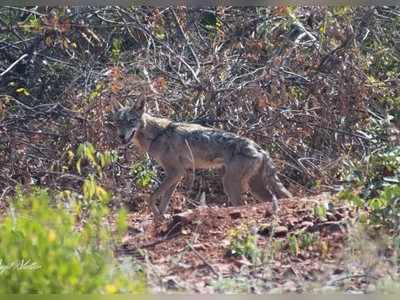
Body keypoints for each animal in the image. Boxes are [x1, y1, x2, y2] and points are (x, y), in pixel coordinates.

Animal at [114, 98, 292, 218]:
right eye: (118, 123)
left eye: (131, 121)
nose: (121, 136)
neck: (156, 134)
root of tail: (259, 148)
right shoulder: (178, 175)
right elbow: (164, 201)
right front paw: (160, 220)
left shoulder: (175, 172)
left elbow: (151, 197)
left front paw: (158, 217)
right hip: (252, 186)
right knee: (276, 198)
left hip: (231, 184)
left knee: (244, 205)